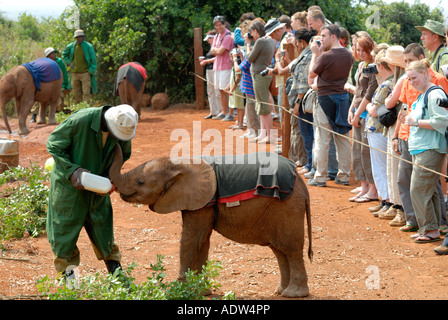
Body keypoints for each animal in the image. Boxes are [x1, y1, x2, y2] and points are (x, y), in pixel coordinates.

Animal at [110, 146, 314, 298]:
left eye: (140, 182)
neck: (180, 164)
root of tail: (301, 184)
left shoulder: (202, 201)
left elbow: (191, 240)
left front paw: (179, 291)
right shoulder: (199, 203)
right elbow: (203, 241)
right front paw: (201, 291)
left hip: (286, 207)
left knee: (291, 249)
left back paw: (293, 294)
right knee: (279, 250)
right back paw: (280, 291)